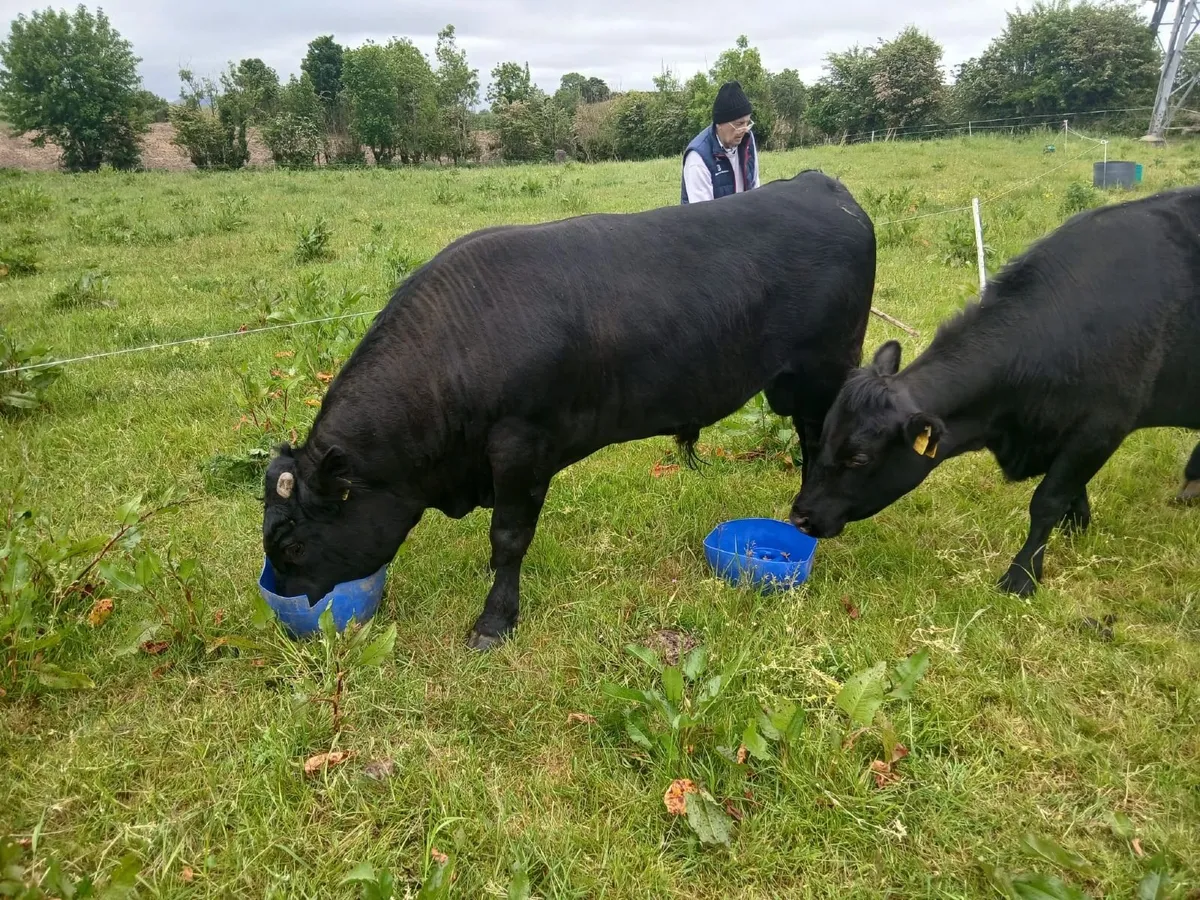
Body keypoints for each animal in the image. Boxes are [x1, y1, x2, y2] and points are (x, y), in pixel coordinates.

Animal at [261, 169, 877, 650]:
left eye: (293, 544)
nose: (285, 603)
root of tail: (821, 185)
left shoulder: (520, 446)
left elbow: (509, 538)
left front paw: (494, 620)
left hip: (827, 369)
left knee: (819, 442)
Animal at [788, 184, 1200, 597]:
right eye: (823, 436)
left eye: (859, 458)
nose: (801, 516)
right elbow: (1073, 488)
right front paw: (1078, 526)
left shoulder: (1102, 426)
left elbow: (1048, 499)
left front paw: (1022, 576)